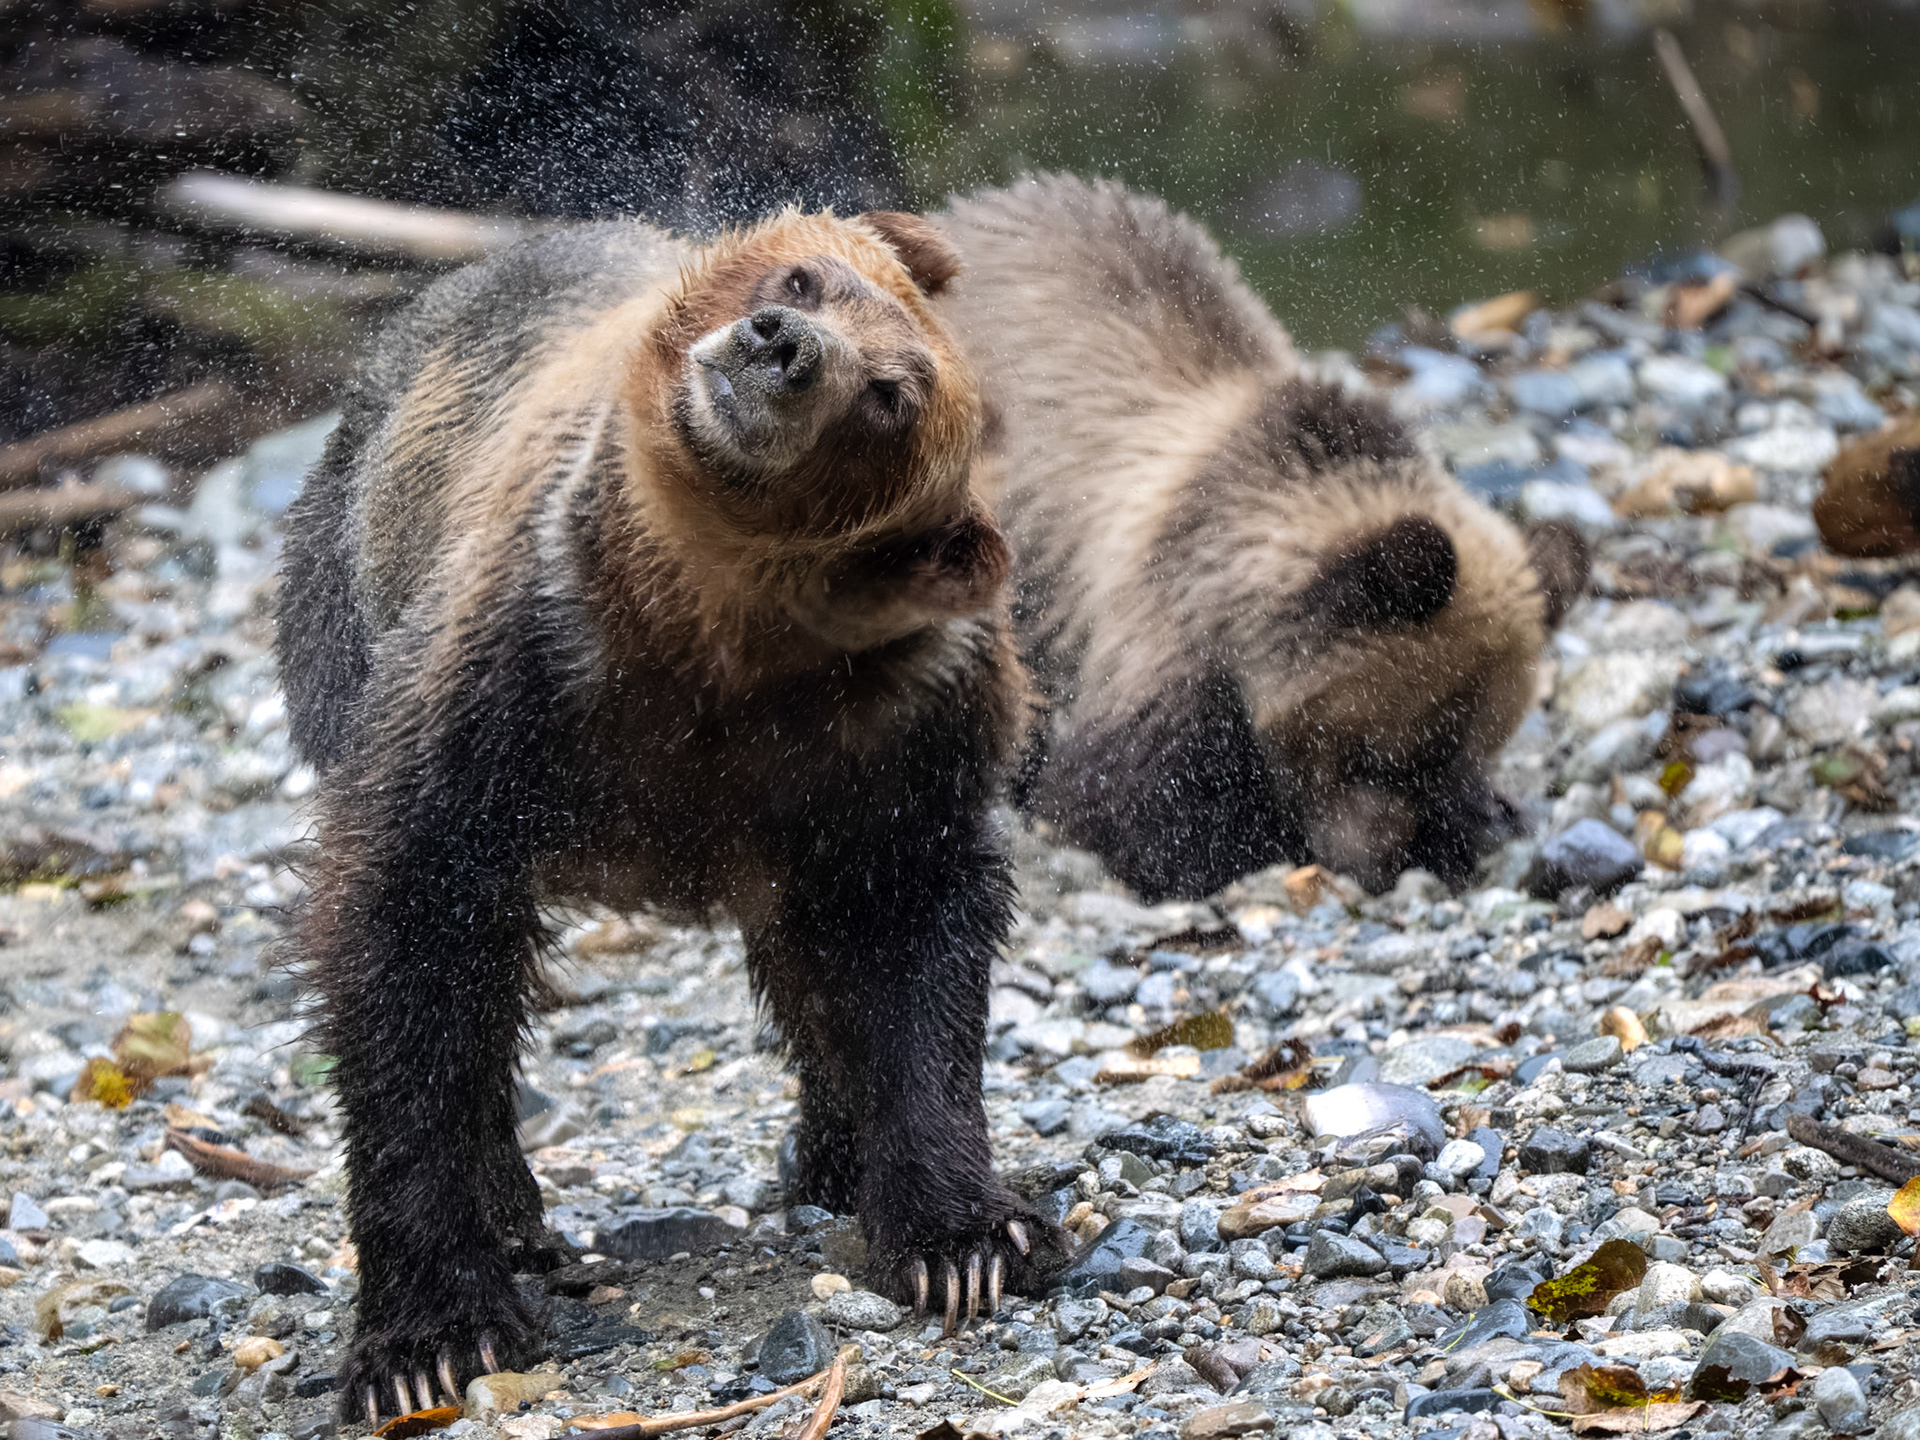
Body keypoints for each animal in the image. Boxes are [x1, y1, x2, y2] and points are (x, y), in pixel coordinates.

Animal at [275, 207, 1052, 1425]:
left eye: (889, 393)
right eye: (805, 278)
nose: (781, 344)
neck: (706, 635)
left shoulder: (900, 731)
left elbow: (912, 941)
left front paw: (964, 1236)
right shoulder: (516, 671)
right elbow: (408, 927)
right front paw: (428, 1337)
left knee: (803, 949)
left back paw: (834, 1155)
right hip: (348, 595)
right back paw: (513, 1206)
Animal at [936, 174, 1586, 901]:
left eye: (1467, 748)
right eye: (1386, 755)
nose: (1374, 862)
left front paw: (1476, 821)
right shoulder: (1163, 620)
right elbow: (1126, 798)